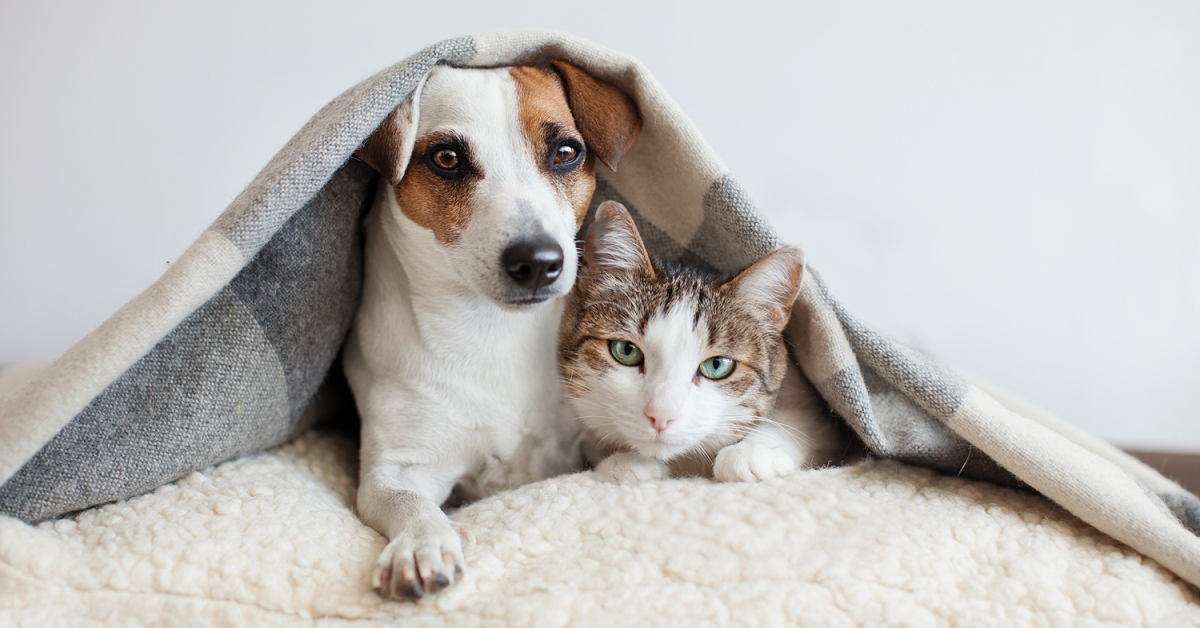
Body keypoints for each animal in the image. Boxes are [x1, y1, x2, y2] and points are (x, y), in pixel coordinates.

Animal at [343, 61, 643, 602]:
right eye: (446, 158)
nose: (539, 261)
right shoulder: (394, 469)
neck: (492, 331)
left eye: (566, 152)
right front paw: (422, 543)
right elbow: (406, 502)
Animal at [559, 202, 849, 487]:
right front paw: (624, 462)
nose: (661, 415)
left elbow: (805, 423)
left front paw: (752, 452)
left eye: (717, 365)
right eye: (626, 351)